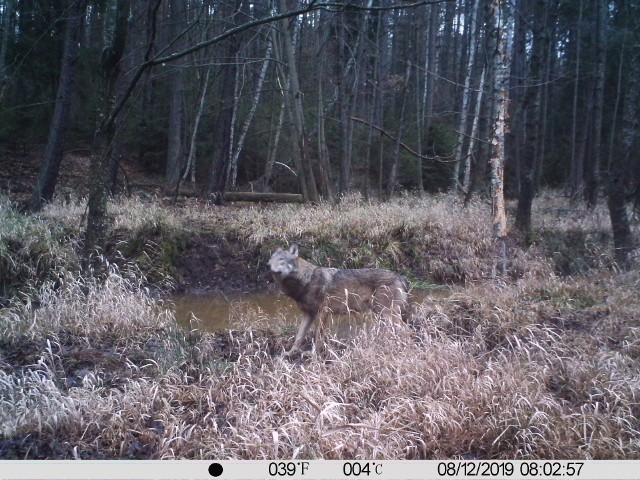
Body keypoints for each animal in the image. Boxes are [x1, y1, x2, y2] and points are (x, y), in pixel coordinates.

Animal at [266, 246, 408, 354]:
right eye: (271, 258)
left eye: (281, 259)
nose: (267, 265)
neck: (306, 280)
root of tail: (400, 277)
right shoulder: (308, 314)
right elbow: (298, 337)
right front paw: (291, 353)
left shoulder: (323, 312)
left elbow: (318, 337)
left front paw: (314, 354)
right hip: (382, 314)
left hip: (387, 313)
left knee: (405, 331)